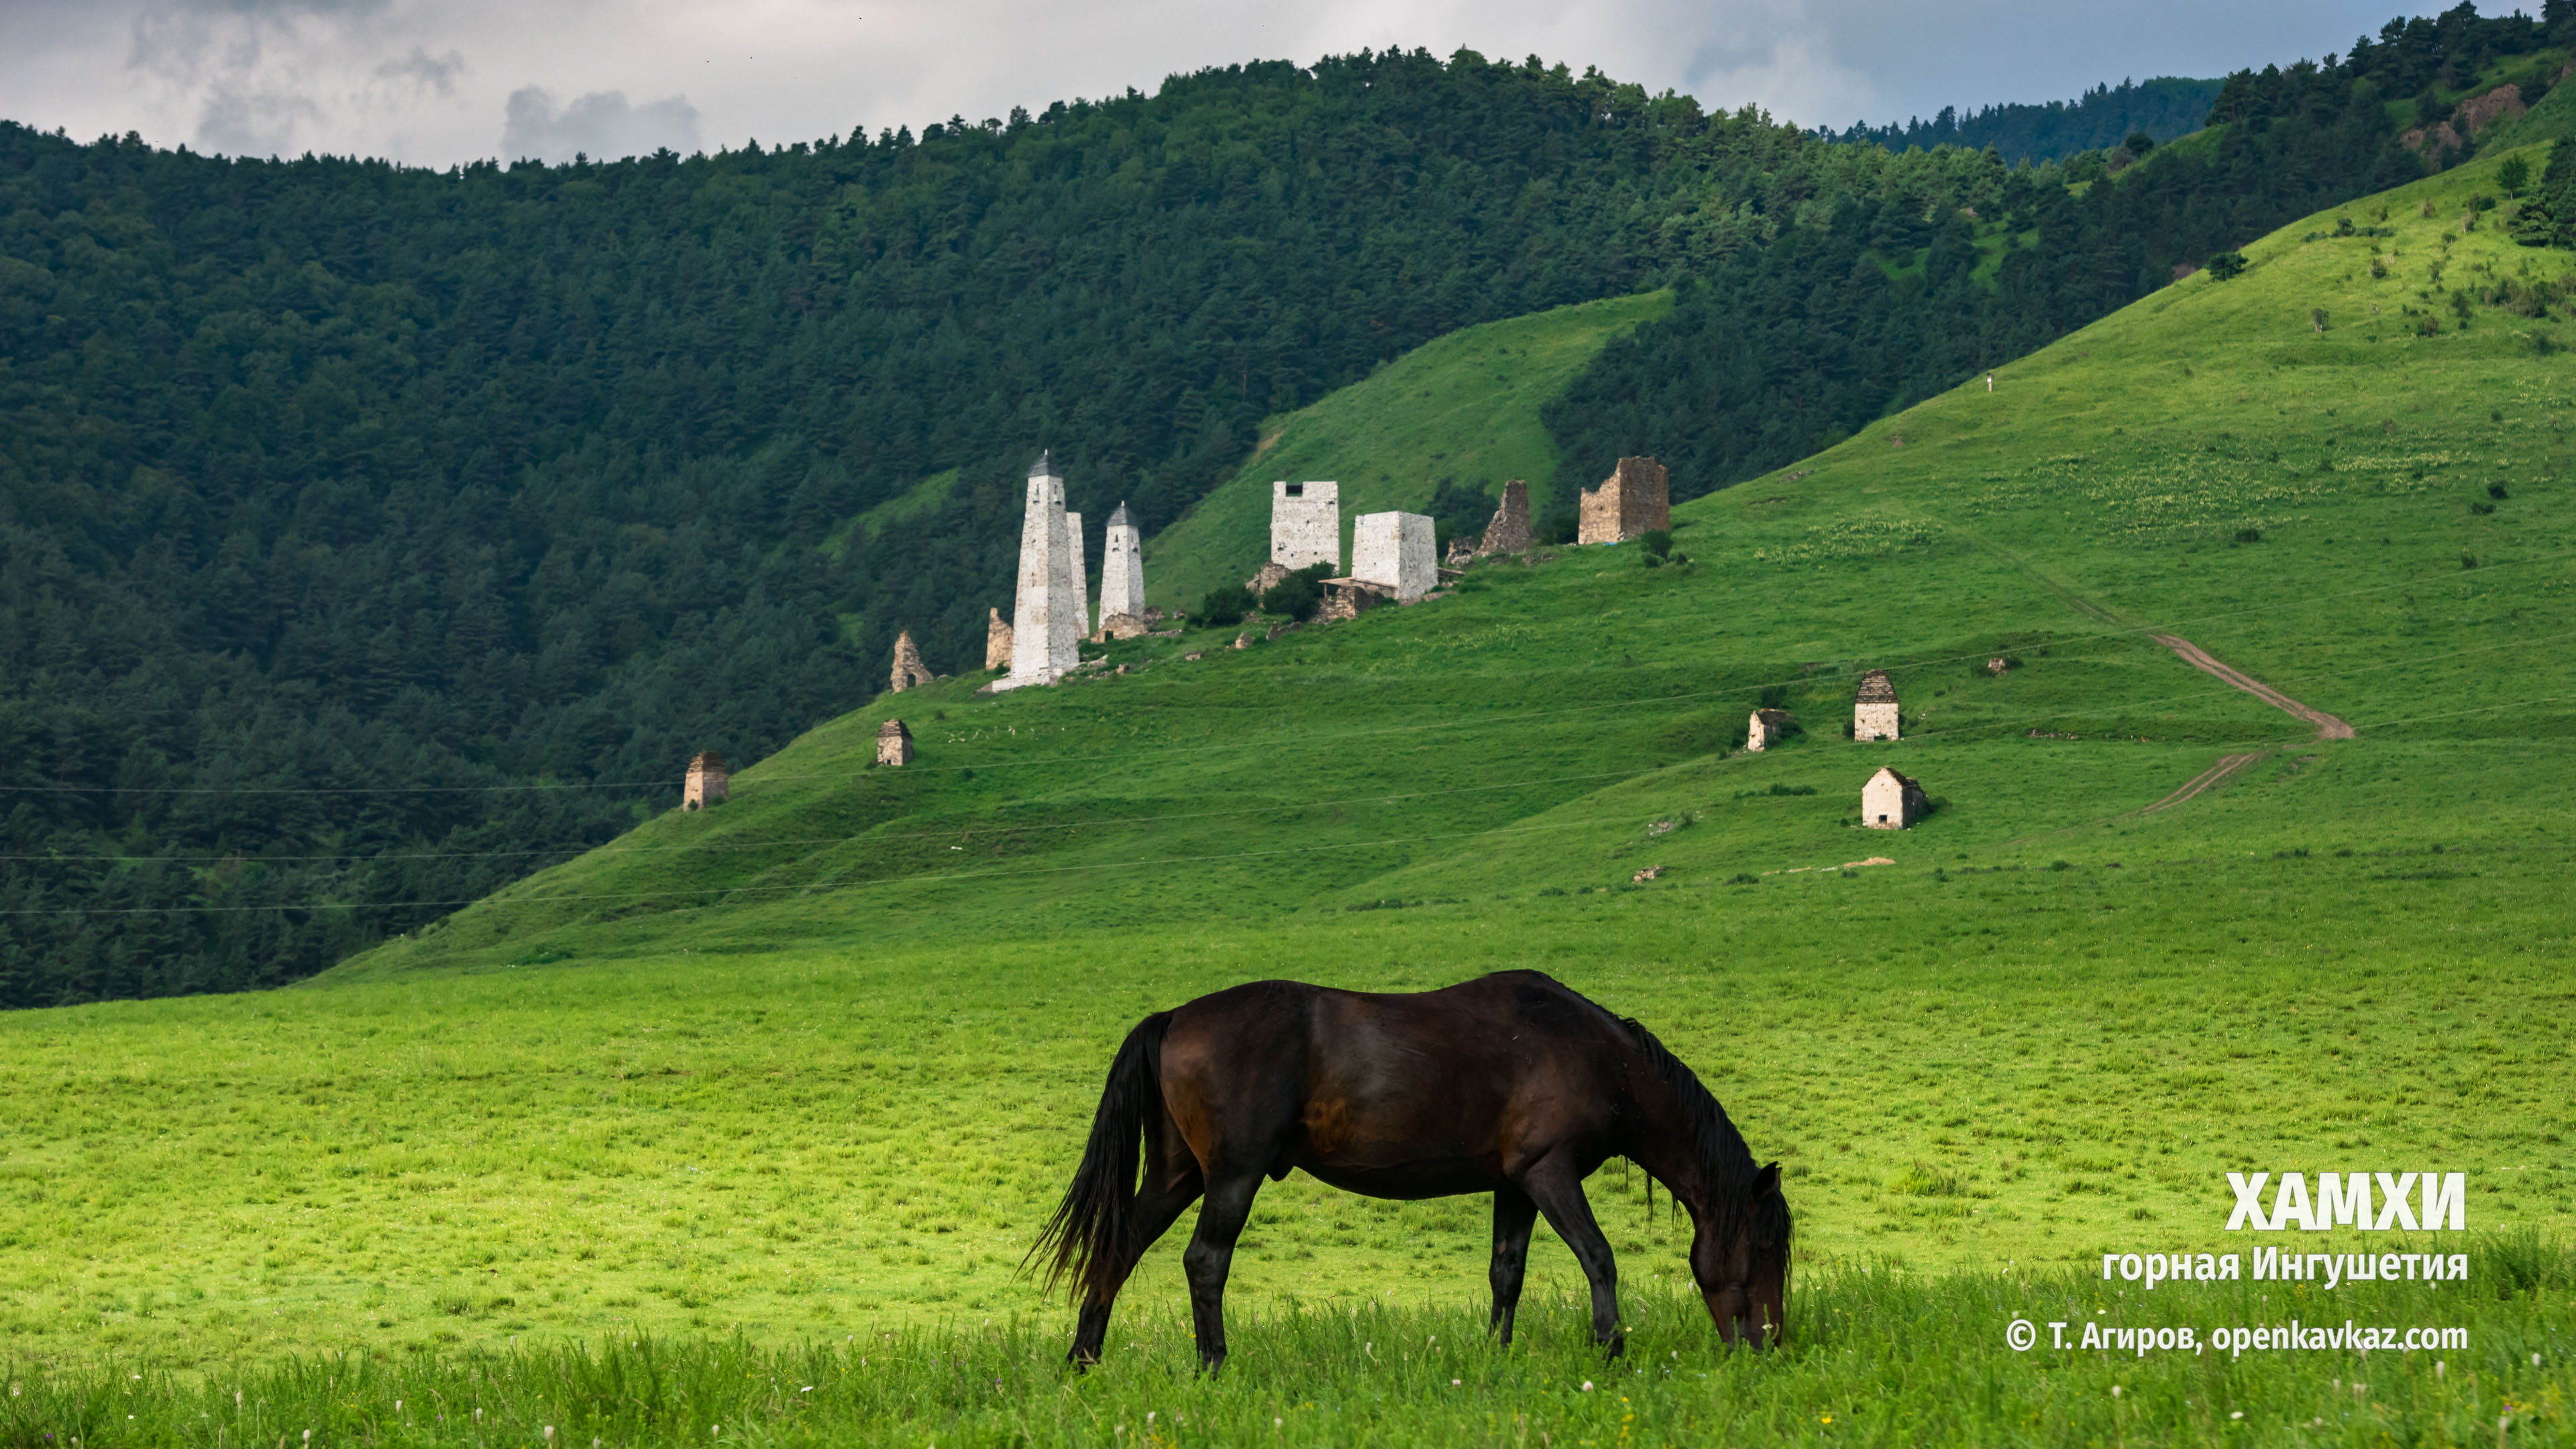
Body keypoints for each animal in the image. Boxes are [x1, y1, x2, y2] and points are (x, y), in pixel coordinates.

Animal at [1030, 969, 1792, 1361]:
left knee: (1121, 1245)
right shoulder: (1551, 1174)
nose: (1767, 1346)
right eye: (1763, 1248)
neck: (1596, 1055)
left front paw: (1496, 1356)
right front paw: (1610, 1350)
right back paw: (1214, 1362)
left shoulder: (1515, 1185)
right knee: (1205, 1261)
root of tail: (1173, 1017)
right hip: (1232, 1177)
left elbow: (1507, 1274)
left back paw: (1085, 1357)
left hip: (1177, 1175)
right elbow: (1599, 1257)